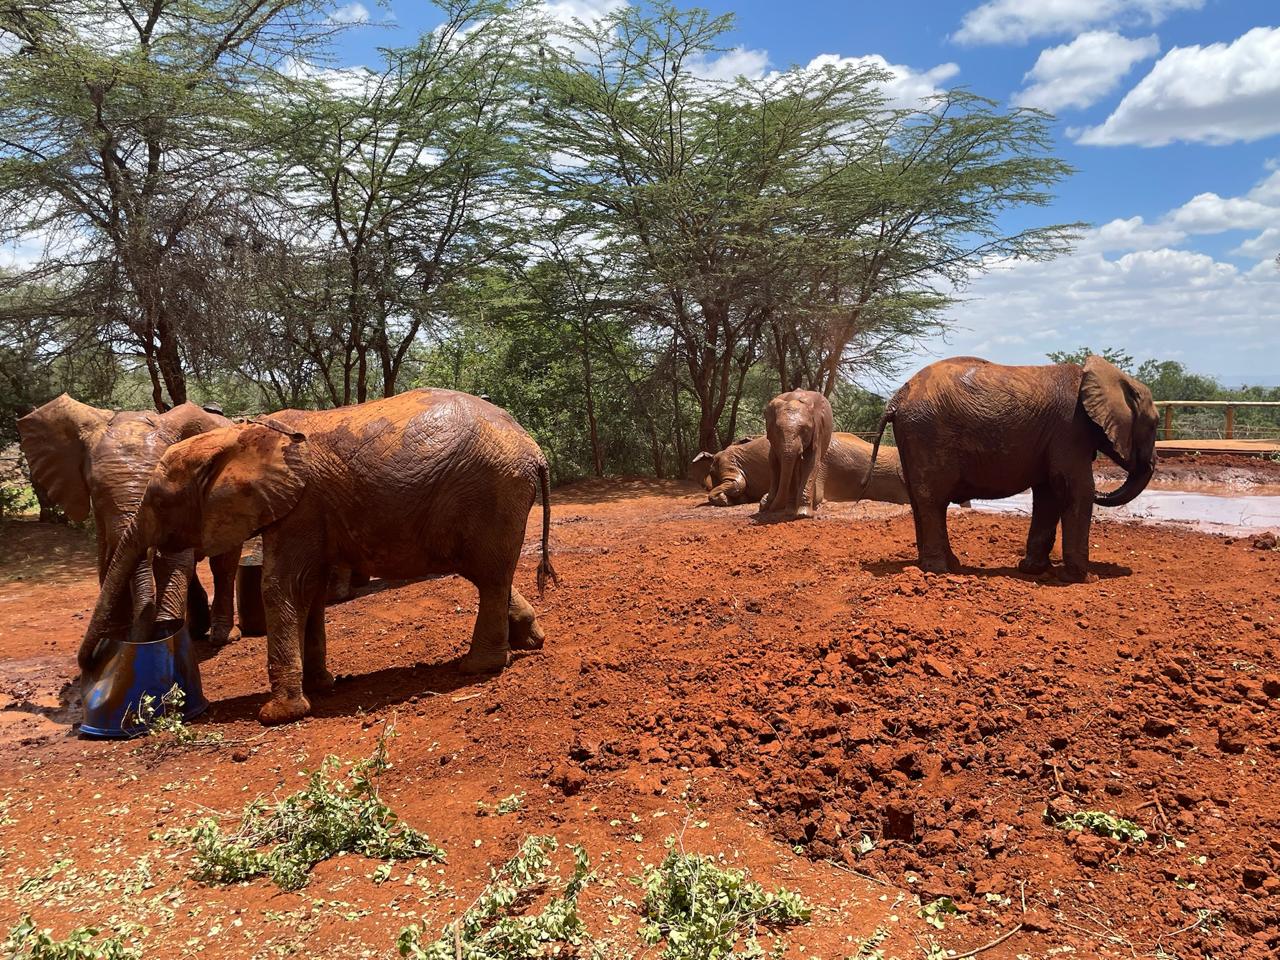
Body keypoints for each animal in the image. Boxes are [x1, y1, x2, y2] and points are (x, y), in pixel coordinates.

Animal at [17, 394, 241, 645]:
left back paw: (223, 637)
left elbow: (170, 562)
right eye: (95, 491)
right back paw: (195, 632)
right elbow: (108, 564)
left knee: (223, 565)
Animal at [81, 388, 557, 726]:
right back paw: (528, 642)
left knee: (487, 575)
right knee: (488, 574)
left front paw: (275, 716)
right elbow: (306, 590)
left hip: (492, 492)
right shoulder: (307, 512)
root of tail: (534, 450)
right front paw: (322, 686)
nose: (92, 663)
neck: (238, 437)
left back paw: (477, 667)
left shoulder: (301, 508)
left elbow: (282, 587)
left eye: (159, 502)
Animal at [758, 390, 833, 518]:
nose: (769, 508)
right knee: (774, 462)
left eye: (805, 430)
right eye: (777, 430)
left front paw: (803, 514)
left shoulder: (818, 431)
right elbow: (791, 467)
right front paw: (790, 512)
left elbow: (811, 462)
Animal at [862, 355, 1158, 581]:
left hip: (913, 434)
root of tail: (899, 396)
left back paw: (944, 565)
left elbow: (1048, 493)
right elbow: (1075, 488)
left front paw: (1033, 570)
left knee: (920, 500)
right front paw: (1083, 579)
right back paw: (940, 571)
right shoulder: (1070, 429)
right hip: (927, 432)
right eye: (1154, 424)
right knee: (932, 500)